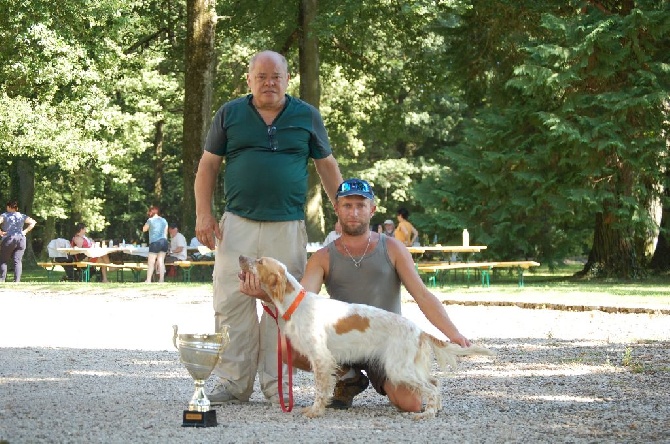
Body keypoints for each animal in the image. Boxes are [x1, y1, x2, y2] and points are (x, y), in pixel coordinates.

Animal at [240, 255, 494, 418]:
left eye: (260, 261)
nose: (241, 257)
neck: (296, 303)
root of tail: (419, 330)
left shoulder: (321, 358)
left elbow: (320, 390)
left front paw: (314, 411)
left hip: (397, 368)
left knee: (430, 388)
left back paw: (427, 414)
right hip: (408, 367)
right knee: (435, 382)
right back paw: (436, 408)